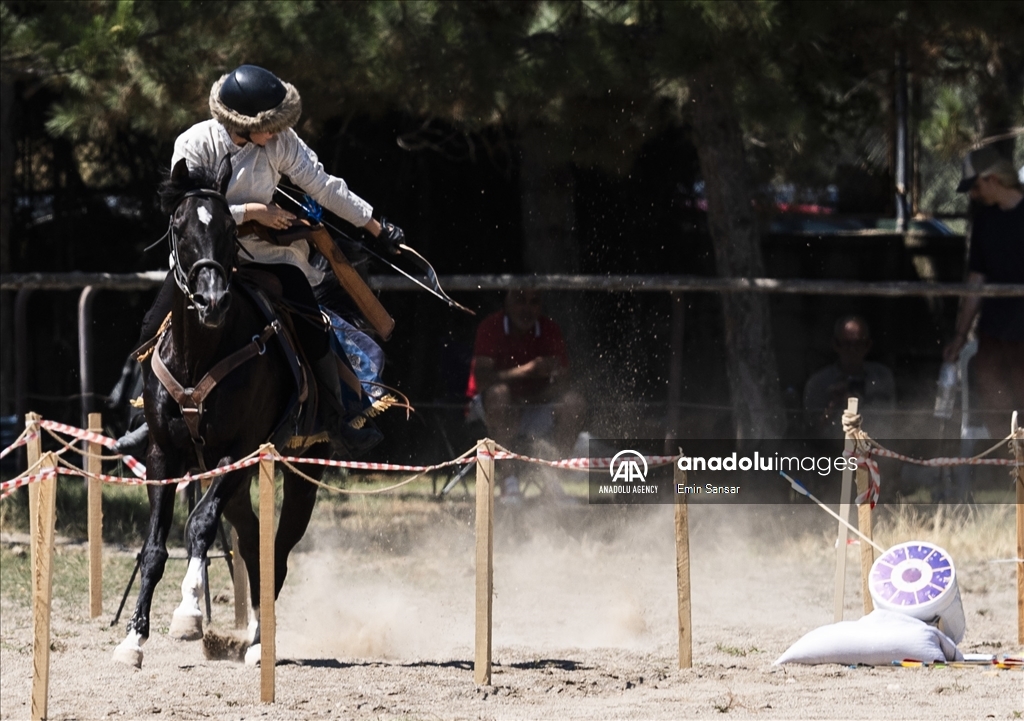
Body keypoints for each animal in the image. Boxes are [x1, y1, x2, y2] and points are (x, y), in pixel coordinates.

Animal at [115, 160, 331, 667]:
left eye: (231, 230)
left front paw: (188, 608)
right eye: (179, 227)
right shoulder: (162, 455)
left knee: (276, 550)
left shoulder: (241, 449)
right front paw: (133, 639)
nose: (212, 300)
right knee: (251, 542)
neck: (198, 355)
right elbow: (154, 549)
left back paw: (259, 642)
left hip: (299, 471)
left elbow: (199, 525)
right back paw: (251, 635)